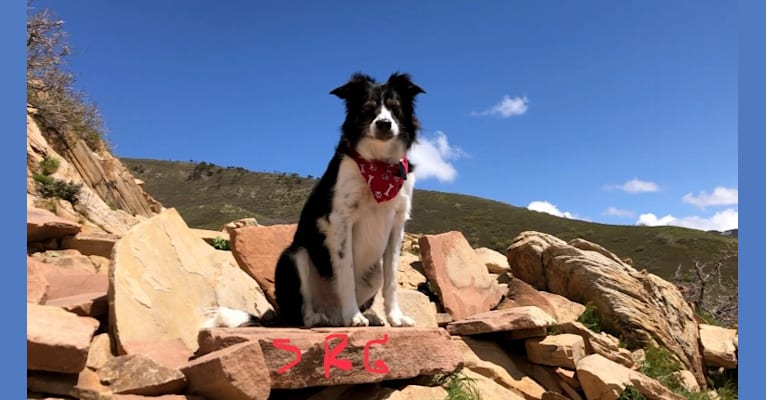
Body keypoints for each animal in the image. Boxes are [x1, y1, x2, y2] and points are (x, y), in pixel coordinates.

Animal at [268, 72, 426, 328]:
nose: (384, 124)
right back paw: (321, 318)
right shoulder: (341, 220)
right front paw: (353, 316)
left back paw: (368, 315)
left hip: (375, 270)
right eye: (367, 108)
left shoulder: (397, 224)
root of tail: (332, 313)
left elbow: (392, 279)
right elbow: (346, 273)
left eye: (395, 107)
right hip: (294, 255)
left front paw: (395, 317)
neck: (379, 163)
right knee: (302, 312)